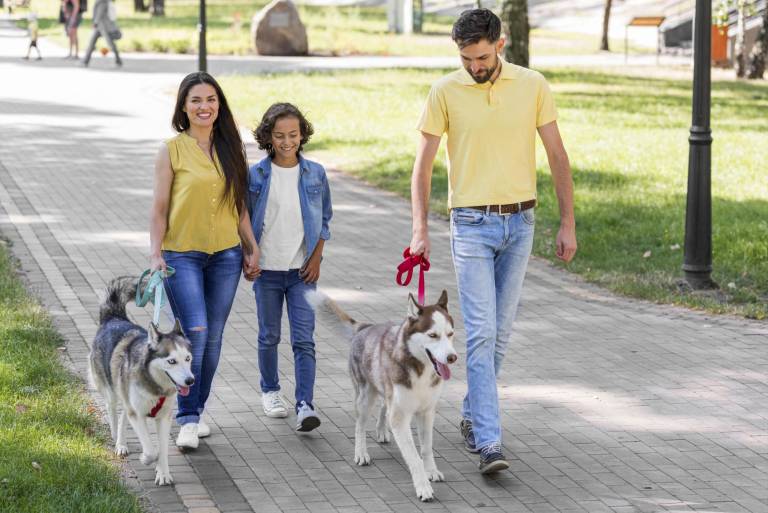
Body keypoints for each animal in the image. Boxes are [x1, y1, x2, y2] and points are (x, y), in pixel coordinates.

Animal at [89, 276, 195, 484]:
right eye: (171, 361)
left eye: (188, 358)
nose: (190, 381)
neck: (156, 386)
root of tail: (113, 317)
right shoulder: (137, 414)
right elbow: (151, 449)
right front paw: (146, 458)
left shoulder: (163, 418)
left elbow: (162, 450)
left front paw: (163, 473)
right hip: (112, 392)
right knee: (114, 414)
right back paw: (118, 442)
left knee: (123, 416)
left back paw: (122, 444)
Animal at [310, 290, 456, 502]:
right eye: (433, 335)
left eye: (450, 334)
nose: (453, 358)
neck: (420, 369)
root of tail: (365, 327)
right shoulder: (400, 418)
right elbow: (414, 458)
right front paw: (423, 487)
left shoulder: (427, 412)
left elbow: (426, 448)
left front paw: (431, 471)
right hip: (365, 398)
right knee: (360, 426)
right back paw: (361, 452)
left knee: (384, 407)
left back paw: (381, 430)